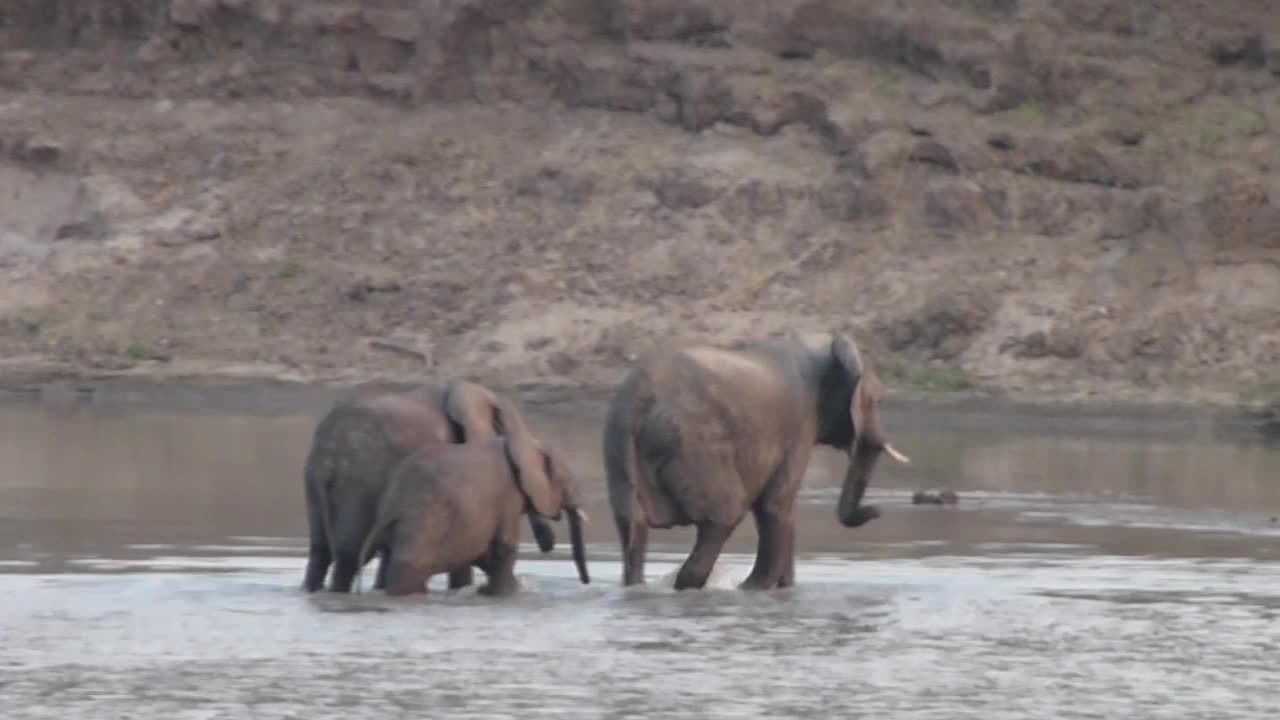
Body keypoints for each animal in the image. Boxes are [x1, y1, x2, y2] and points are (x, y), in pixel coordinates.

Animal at [304, 379, 560, 591]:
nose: (548, 545)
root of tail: (325, 455)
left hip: (315, 485)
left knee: (322, 553)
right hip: (358, 482)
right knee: (348, 556)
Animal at [350, 392, 588, 594]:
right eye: (567, 484)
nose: (586, 582)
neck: (525, 447)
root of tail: (390, 508)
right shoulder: (508, 497)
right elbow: (504, 546)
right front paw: (503, 595)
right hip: (421, 525)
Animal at [601, 330, 911, 589]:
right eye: (878, 401)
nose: (878, 510)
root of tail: (636, 401)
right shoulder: (799, 423)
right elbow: (775, 503)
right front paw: (760, 590)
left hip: (619, 451)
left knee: (633, 531)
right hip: (695, 446)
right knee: (722, 518)